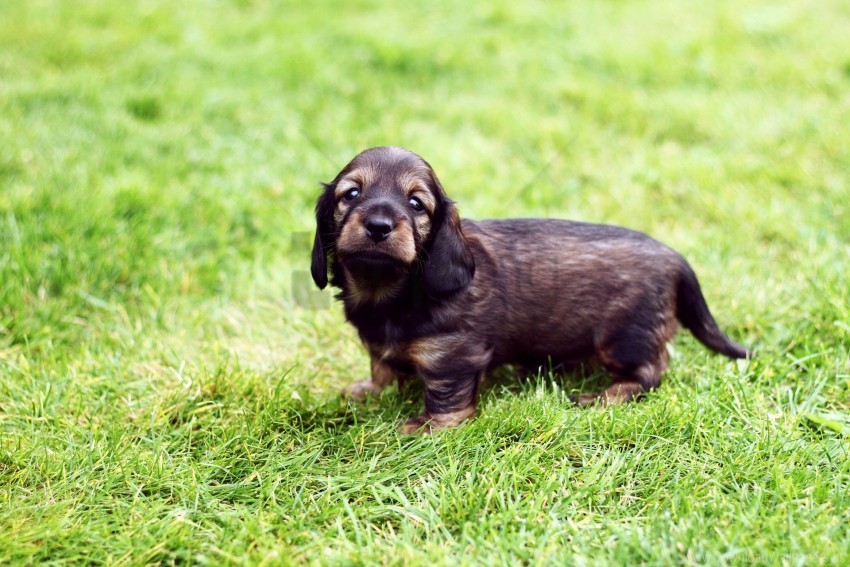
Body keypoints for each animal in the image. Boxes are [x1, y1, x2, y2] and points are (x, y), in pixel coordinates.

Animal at [308, 146, 744, 434]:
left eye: (416, 204)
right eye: (351, 194)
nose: (379, 225)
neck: (391, 292)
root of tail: (675, 257)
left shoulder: (452, 354)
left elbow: (446, 395)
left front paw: (430, 425)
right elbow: (380, 365)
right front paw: (370, 391)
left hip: (624, 338)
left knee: (650, 373)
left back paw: (603, 396)